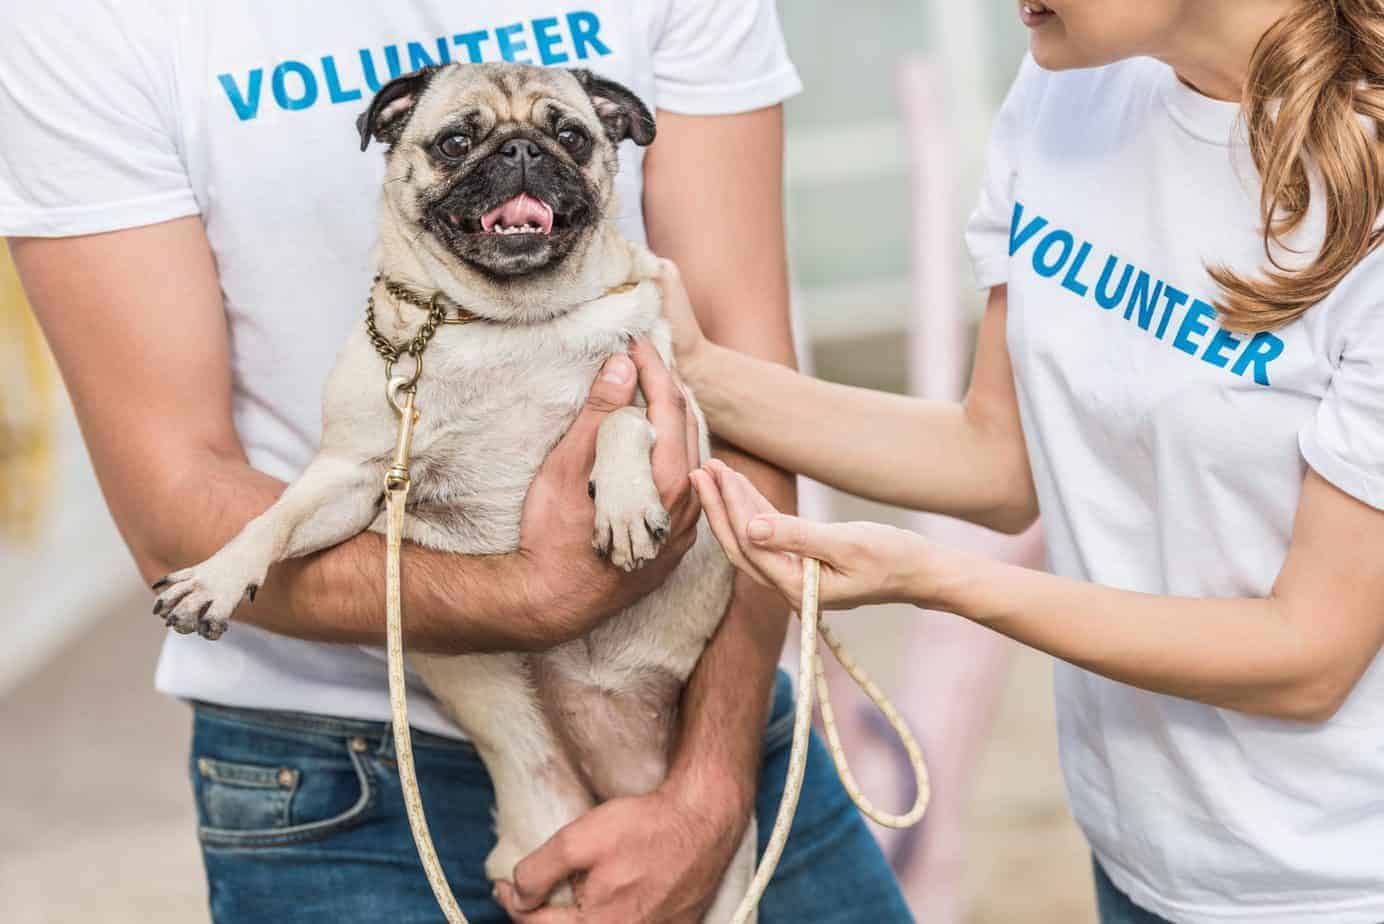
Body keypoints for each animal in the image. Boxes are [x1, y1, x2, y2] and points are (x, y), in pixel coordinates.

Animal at [151, 63, 758, 918]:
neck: (507, 325)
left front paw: (626, 503)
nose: (522, 150)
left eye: (571, 135)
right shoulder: (350, 475)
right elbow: (275, 519)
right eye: (456, 141)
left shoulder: (674, 413)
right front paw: (217, 576)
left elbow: (621, 420)